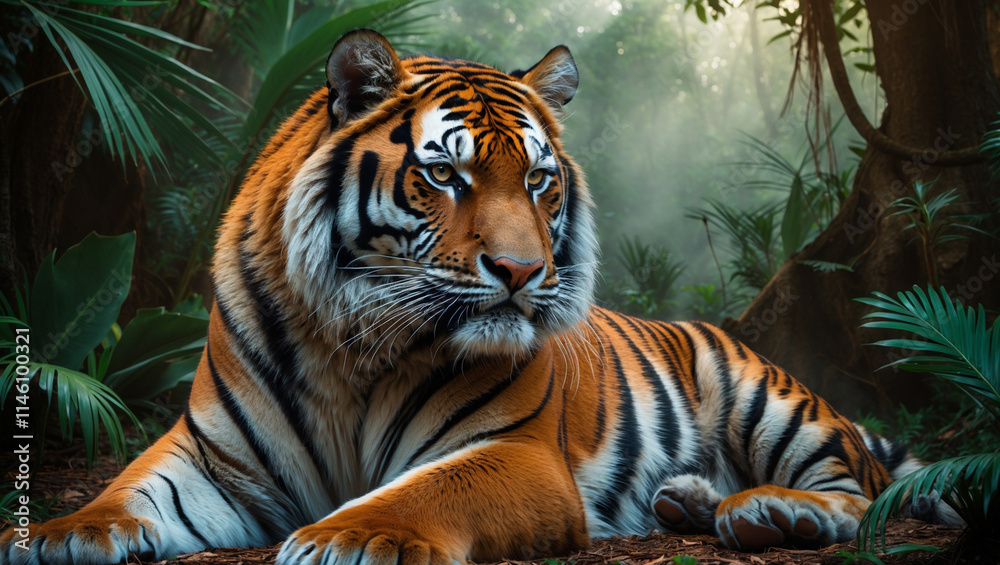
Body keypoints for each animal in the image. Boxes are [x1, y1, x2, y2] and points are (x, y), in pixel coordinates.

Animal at [1, 29, 960, 565]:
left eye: (538, 180)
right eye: (445, 175)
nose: (522, 271)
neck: (349, 345)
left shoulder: (514, 451)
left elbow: (419, 494)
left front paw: (350, 537)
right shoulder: (215, 455)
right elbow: (126, 489)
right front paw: (59, 532)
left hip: (771, 398)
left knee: (860, 487)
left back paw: (768, 507)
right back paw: (686, 498)